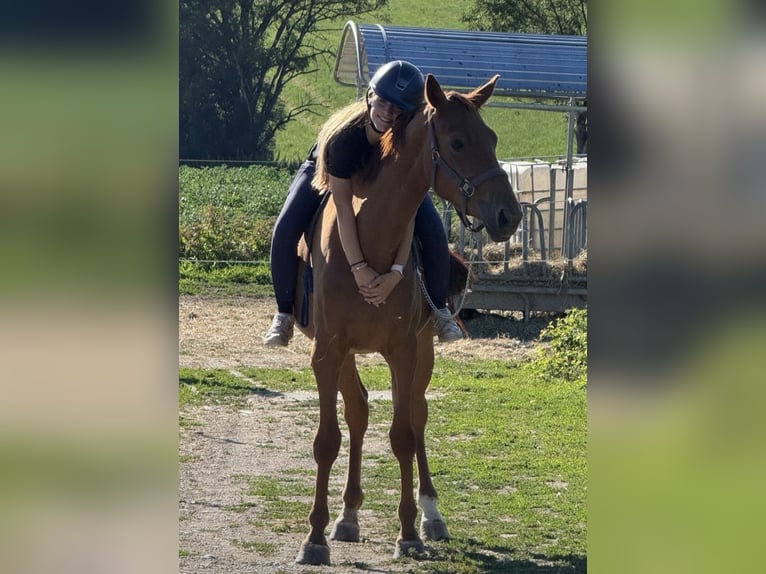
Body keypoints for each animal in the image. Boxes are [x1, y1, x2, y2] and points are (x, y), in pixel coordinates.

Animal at [292, 73, 522, 565]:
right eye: (457, 142)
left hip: (423, 350)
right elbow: (327, 439)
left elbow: (402, 435)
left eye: (493, 138)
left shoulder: (403, 350)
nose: (509, 215)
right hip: (347, 355)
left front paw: (409, 531)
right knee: (358, 411)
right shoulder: (328, 351)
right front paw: (315, 537)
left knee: (416, 416)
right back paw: (348, 516)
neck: (372, 233)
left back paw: (431, 514)